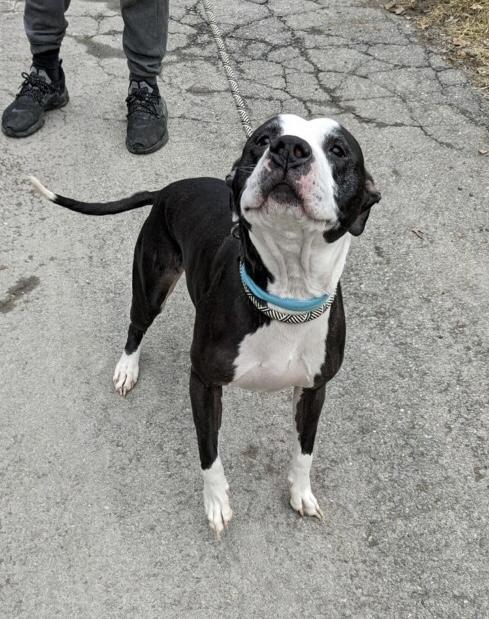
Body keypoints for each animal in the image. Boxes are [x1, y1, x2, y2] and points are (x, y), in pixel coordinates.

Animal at [30, 112, 382, 536]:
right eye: (262, 138)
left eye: (339, 149)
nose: (289, 148)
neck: (286, 297)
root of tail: (166, 189)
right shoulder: (203, 382)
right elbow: (208, 452)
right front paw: (216, 504)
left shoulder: (315, 389)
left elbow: (305, 450)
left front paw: (301, 493)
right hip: (152, 285)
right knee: (136, 326)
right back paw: (127, 368)